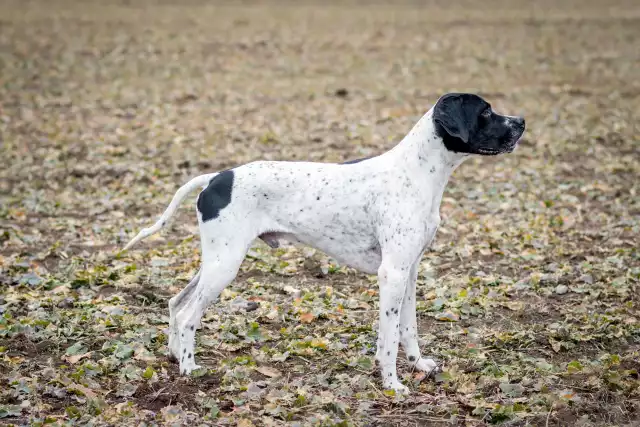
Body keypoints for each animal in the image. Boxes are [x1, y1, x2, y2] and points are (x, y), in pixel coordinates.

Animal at [122, 93, 524, 394]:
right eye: (486, 112)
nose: (521, 121)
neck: (416, 172)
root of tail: (218, 177)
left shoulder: (409, 273)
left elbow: (408, 329)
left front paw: (419, 365)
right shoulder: (391, 275)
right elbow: (388, 338)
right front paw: (391, 384)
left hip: (215, 263)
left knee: (176, 303)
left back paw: (175, 356)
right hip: (225, 265)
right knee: (188, 315)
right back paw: (190, 368)